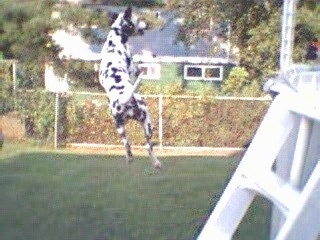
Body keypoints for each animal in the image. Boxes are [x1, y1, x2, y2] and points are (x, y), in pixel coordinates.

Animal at [99, 7, 161, 169]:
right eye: (138, 19)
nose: (147, 24)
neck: (114, 42)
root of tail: (124, 99)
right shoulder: (134, 71)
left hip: (120, 127)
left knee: (127, 144)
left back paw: (131, 158)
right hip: (148, 123)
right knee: (148, 146)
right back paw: (157, 162)